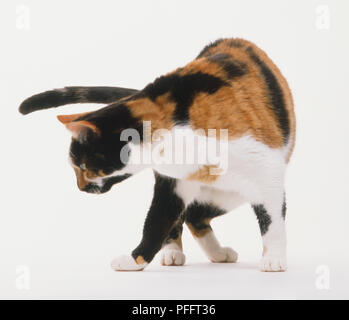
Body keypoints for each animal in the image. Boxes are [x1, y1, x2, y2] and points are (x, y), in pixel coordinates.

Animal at [19, 38, 294, 272]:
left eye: (82, 166)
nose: (81, 188)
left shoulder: (266, 174)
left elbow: (272, 221)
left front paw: (273, 259)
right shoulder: (172, 183)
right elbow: (157, 221)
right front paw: (134, 260)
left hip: (228, 194)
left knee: (195, 215)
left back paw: (217, 253)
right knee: (188, 216)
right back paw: (179, 253)